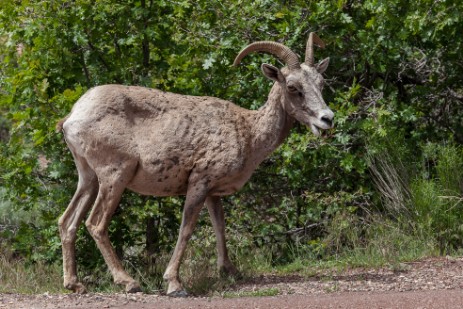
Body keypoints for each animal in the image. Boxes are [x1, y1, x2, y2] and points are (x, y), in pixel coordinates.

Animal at [57, 32, 334, 294]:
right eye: (292, 86)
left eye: (321, 83)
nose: (327, 118)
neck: (248, 133)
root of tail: (72, 118)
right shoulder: (199, 182)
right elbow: (186, 229)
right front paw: (174, 284)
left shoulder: (213, 192)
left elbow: (219, 226)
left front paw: (230, 271)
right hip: (114, 176)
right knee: (95, 224)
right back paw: (129, 282)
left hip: (88, 178)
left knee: (67, 221)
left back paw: (74, 284)